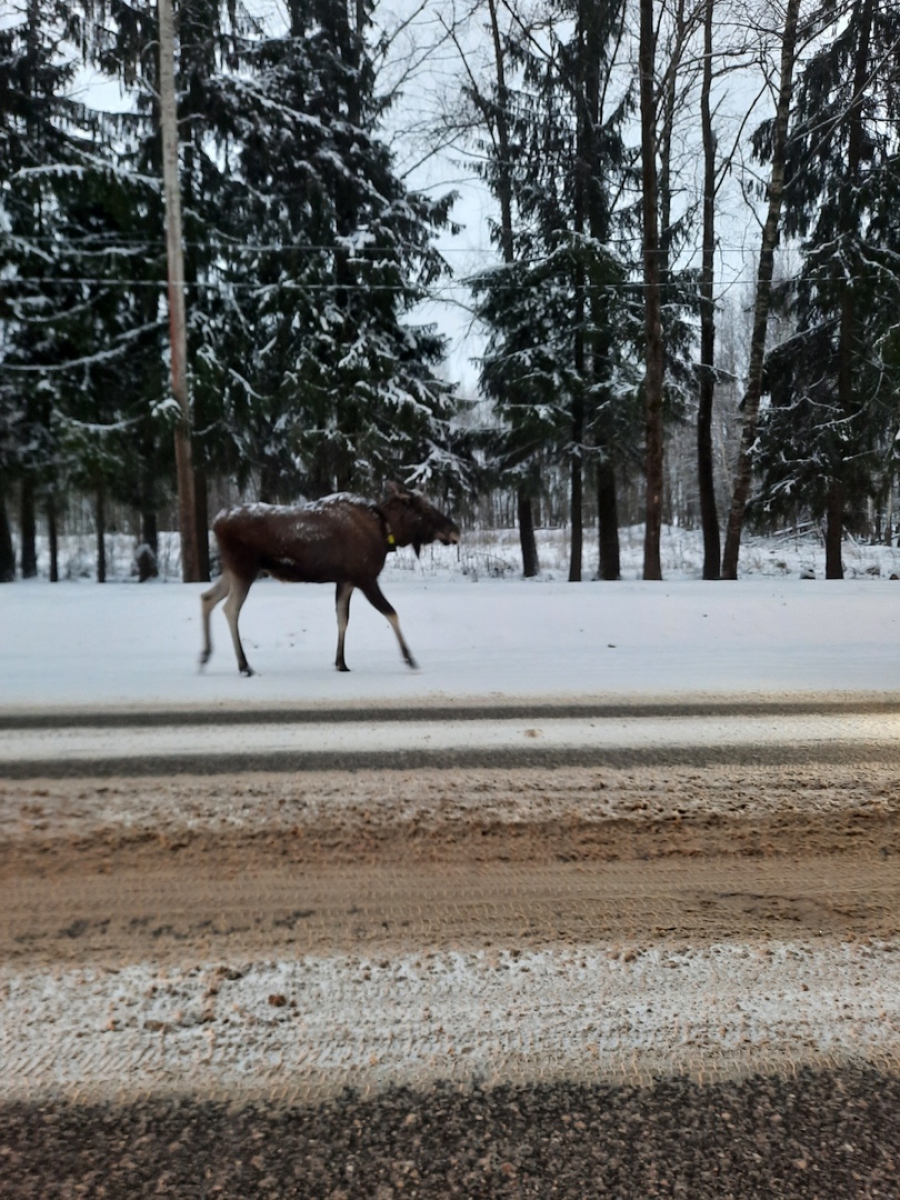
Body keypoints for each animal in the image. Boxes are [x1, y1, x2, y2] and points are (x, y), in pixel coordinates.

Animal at [201, 484, 460, 676]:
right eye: (424, 508)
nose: (455, 530)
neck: (385, 531)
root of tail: (215, 523)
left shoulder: (346, 580)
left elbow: (342, 618)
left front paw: (341, 662)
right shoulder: (365, 578)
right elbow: (391, 613)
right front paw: (409, 658)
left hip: (233, 571)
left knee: (207, 598)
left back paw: (205, 656)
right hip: (244, 570)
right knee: (230, 608)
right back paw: (244, 665)